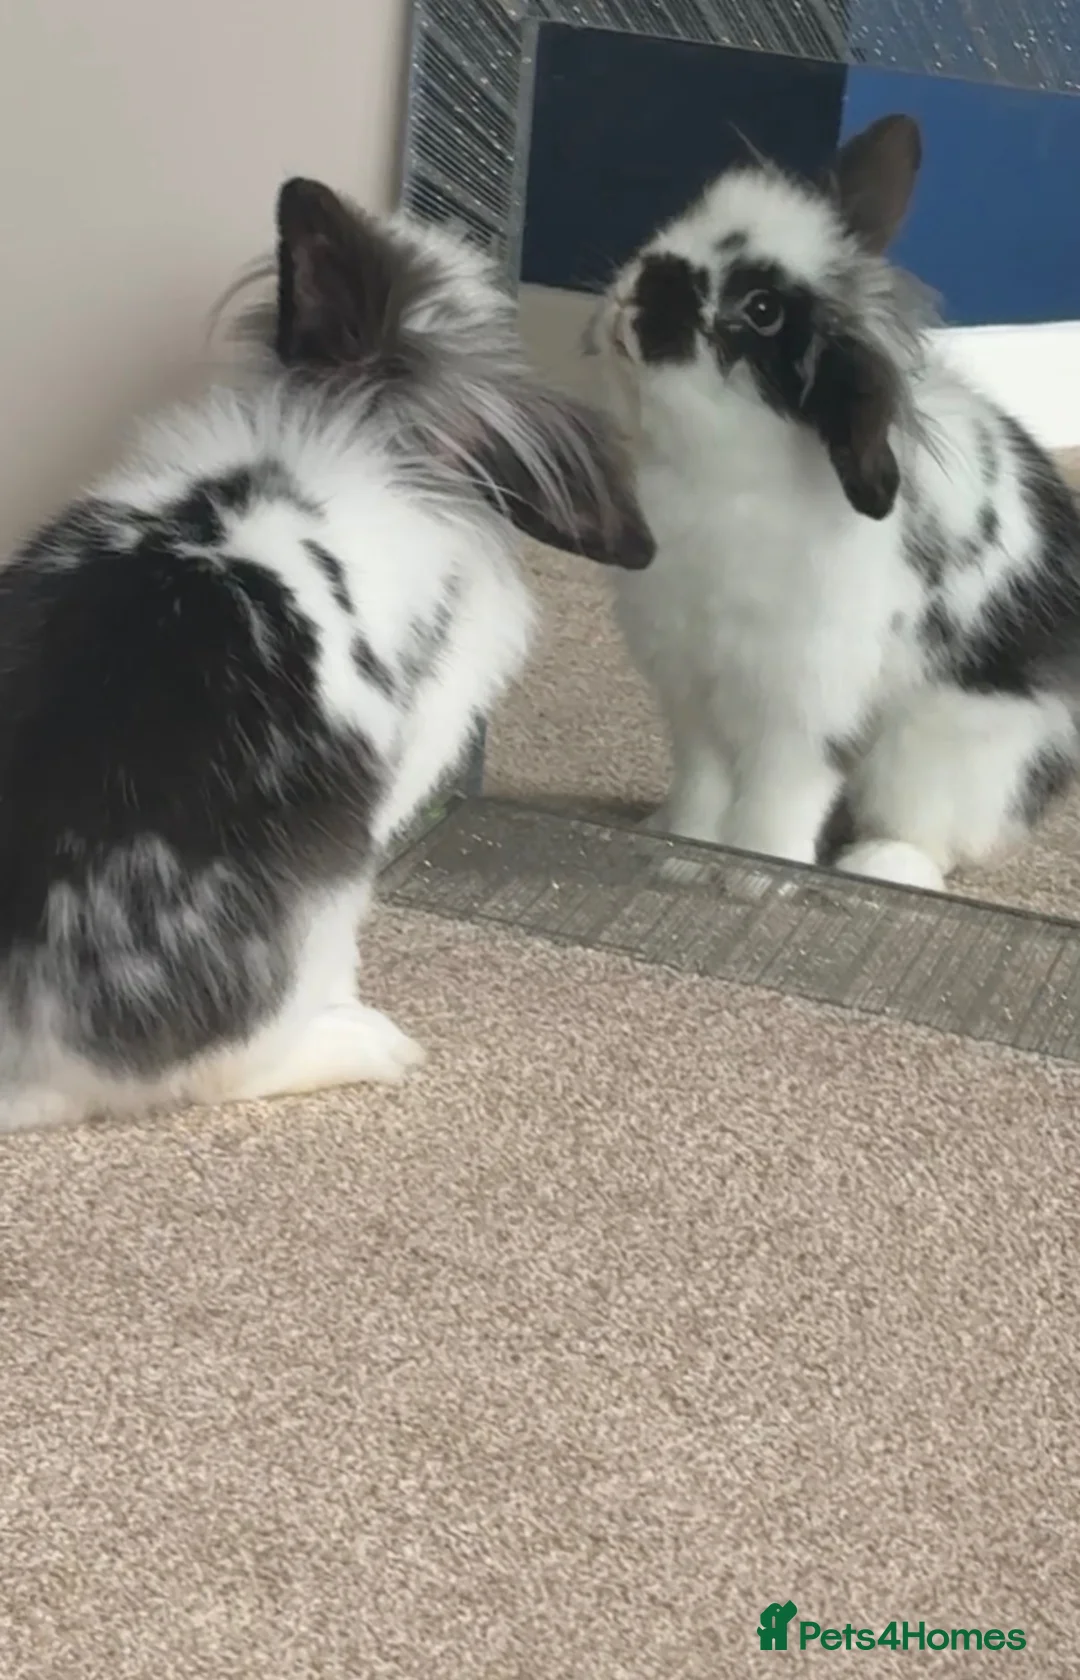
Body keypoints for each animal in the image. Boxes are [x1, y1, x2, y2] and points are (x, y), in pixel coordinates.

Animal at [589, 113, 1080, 895]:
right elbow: (702, 786)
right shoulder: (693, 694)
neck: (717, 478)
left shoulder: (803, 707)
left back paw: (880, 869)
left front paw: (753, 877)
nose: (640, 286)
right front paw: (682, 856)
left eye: (761, 311)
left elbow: (778, 798)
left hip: (947, 751)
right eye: (698, 216)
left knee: (929, 834)